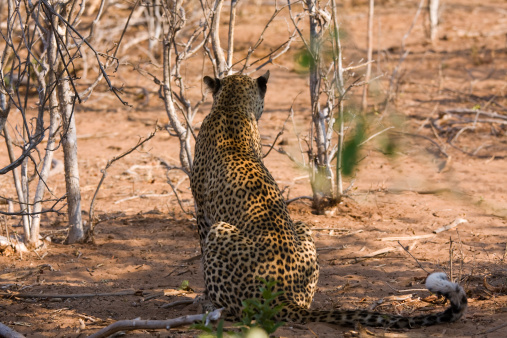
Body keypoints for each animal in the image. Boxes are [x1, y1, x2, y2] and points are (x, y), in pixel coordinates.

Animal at [190, 71, 468, 328]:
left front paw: (202, 294)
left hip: (220, 229)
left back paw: (210, 305)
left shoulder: (202, 211)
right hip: (302, 226)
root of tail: (283, 299)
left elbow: (201, 250)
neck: (231, 107)